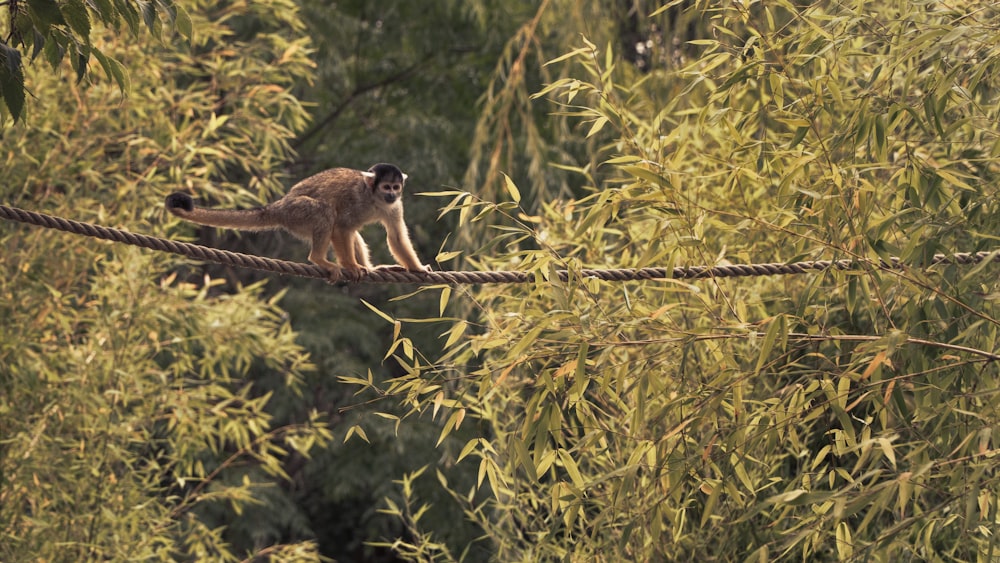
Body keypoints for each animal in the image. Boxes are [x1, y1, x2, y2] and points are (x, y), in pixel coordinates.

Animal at [164, 163, 430, 282]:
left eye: (395, 187)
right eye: (386, 187)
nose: (392, 194)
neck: (375, 199)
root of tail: (280, 205)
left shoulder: (394, 206)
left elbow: (395, 236)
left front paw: (417, 268)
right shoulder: (357, 198)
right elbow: (341, 227)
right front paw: (350, 266)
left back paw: (372, 269)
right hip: (297, 212)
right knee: (326, 213)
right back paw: (320, 259)